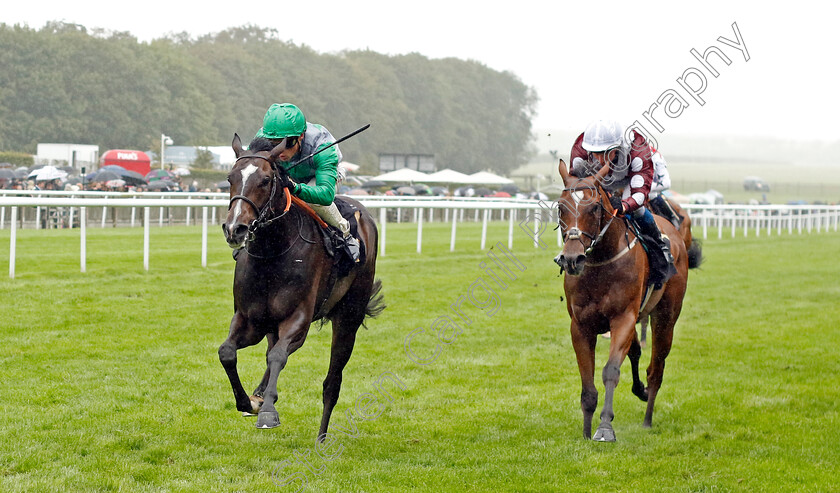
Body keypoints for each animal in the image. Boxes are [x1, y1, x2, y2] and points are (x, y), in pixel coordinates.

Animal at [218, 133, 386, 436]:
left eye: (265, 180)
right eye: (230, 178)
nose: (235, 228)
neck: (273, 252)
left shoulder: (299, 319)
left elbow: (278, 357)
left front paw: (268, 412)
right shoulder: (250, 319)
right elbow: (228, 352)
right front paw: (249, 402)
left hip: (349, 317)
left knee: (332, 382)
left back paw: (321, 437)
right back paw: (259, 395)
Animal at [556, 160, 684, 442]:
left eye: (594, 207)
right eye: (560, 206)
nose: (572, 259)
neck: (600, 263)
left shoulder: (623, 318)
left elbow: (611, 371)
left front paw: (604, 427)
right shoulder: (580, 326)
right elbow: (587, 383)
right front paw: (586, 431)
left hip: (665, 317)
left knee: (656, 367)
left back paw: (647, 417)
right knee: (636, 352)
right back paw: (640, 390)